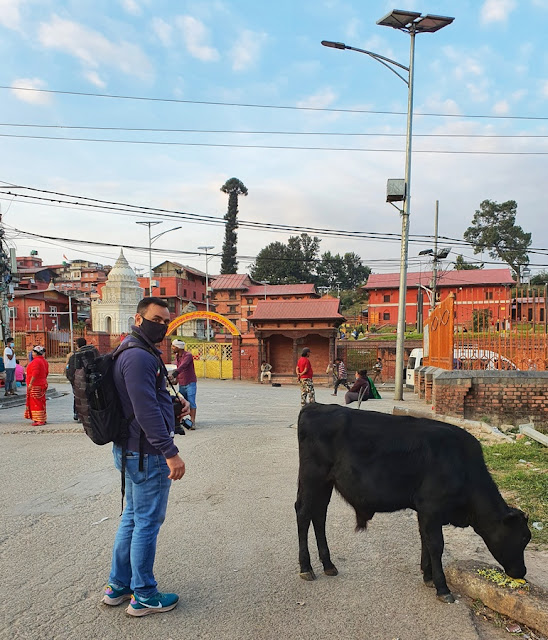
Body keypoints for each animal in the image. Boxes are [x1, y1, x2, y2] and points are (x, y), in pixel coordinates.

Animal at [296, 402, 532, 604]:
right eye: (522, 538)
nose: (522, 572)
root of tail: (314, 406)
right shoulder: (431, 507)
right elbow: (436, 545)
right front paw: (442, 588)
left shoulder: (425, 512)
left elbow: (425, 540)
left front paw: (428, 576)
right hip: (312, 477)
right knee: (303, 513)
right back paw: (306, 567)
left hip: (325, 483)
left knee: (319, 515)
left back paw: (328, 564)